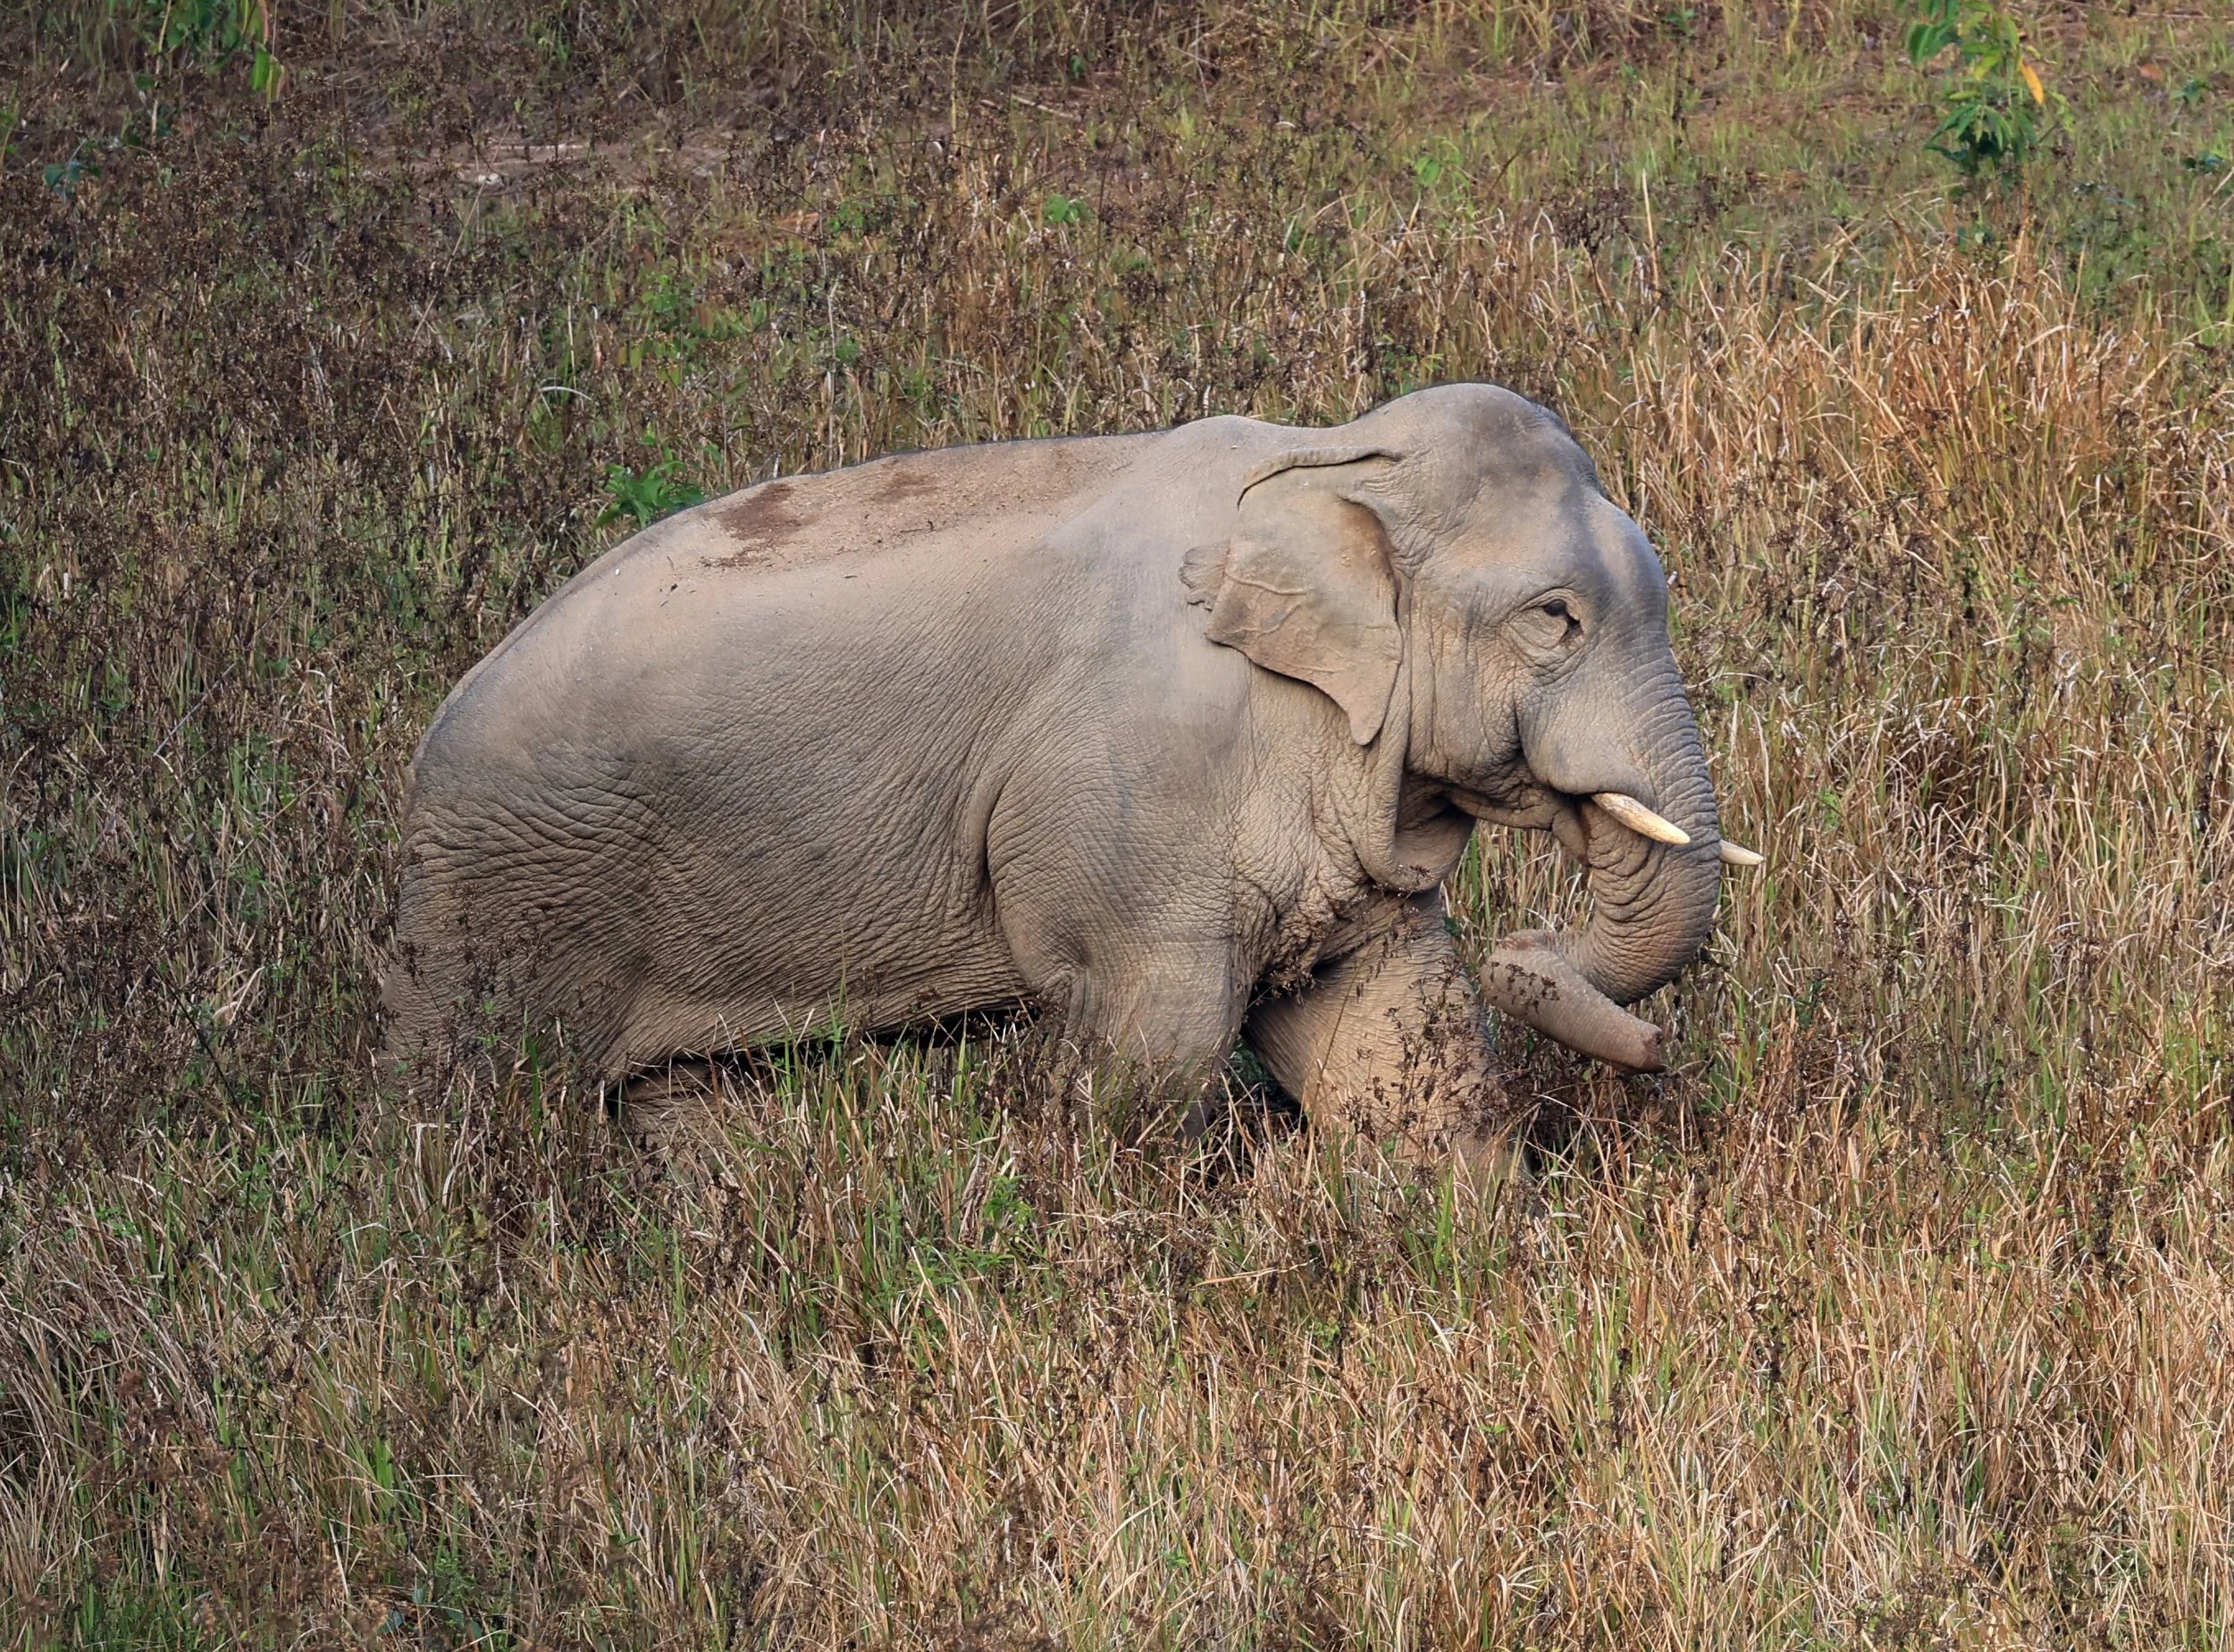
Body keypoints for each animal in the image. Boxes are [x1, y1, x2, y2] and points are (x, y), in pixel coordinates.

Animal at [381, 382, 1757, 1161]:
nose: (1535, 946)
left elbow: (1391, 1031)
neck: (1331, 454)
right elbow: (1159, 1050)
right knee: (476, 1117)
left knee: (690, 1105)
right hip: (501, 907)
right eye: (1554, 619)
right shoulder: (1140, 810)